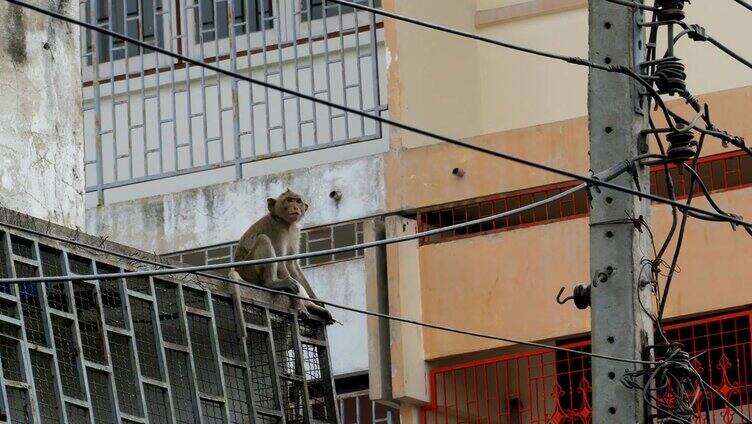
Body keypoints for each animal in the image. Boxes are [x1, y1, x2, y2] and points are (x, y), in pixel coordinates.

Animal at [229, 190, 334, 324]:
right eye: (289, 200)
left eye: (298, 201)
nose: (295, 207)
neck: (285, 224)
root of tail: (238, 271)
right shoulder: (277, 231)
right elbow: (280, 261)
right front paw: (299, 306)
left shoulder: (295, 232)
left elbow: (291, 264)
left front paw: (315, 300)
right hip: (249, 271)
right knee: (263, 239)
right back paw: (272, 283)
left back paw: (312, 306)